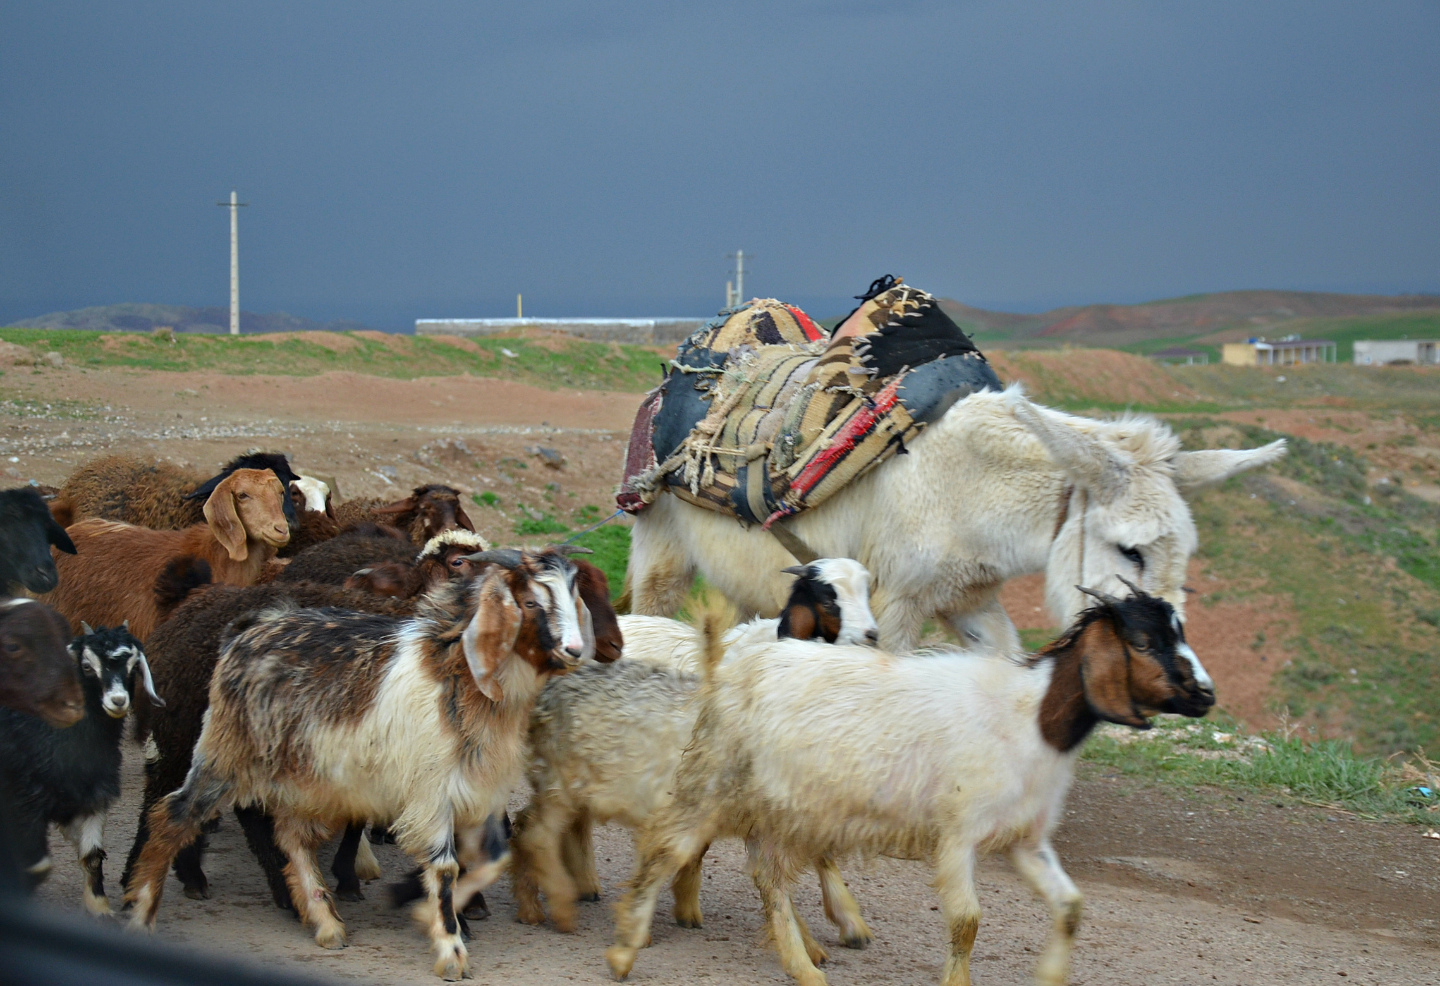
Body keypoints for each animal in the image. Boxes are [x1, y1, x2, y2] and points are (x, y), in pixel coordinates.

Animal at [0, 621, 160, 909]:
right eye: (86, 666)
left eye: (133, 667)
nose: (118, 701)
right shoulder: (23, 801)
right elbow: (36, 865)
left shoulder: (92, 796)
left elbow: (92, 856)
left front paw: (99, 907)